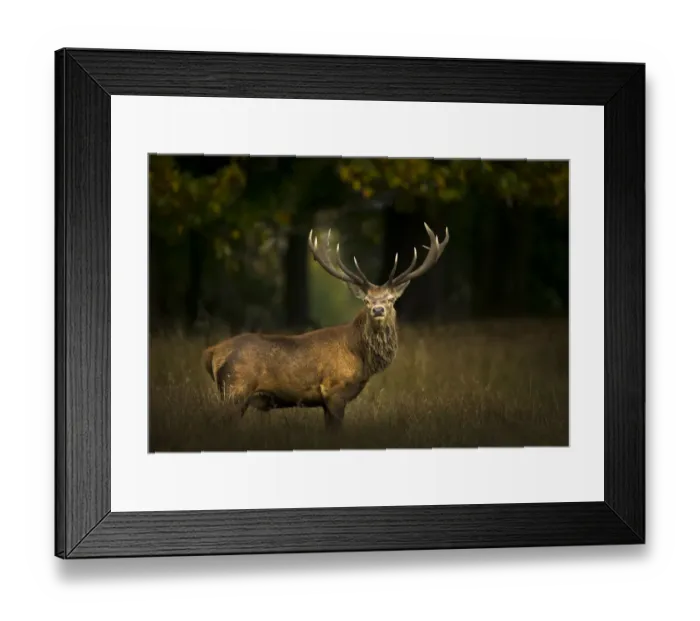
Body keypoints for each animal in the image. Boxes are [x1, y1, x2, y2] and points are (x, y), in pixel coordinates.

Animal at [202, 222, 449, 430]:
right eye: (366, 301)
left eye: (390, 299)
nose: (378, 310)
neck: (360, 356)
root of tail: (212, 352)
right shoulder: (334, 390)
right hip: (235, 390)